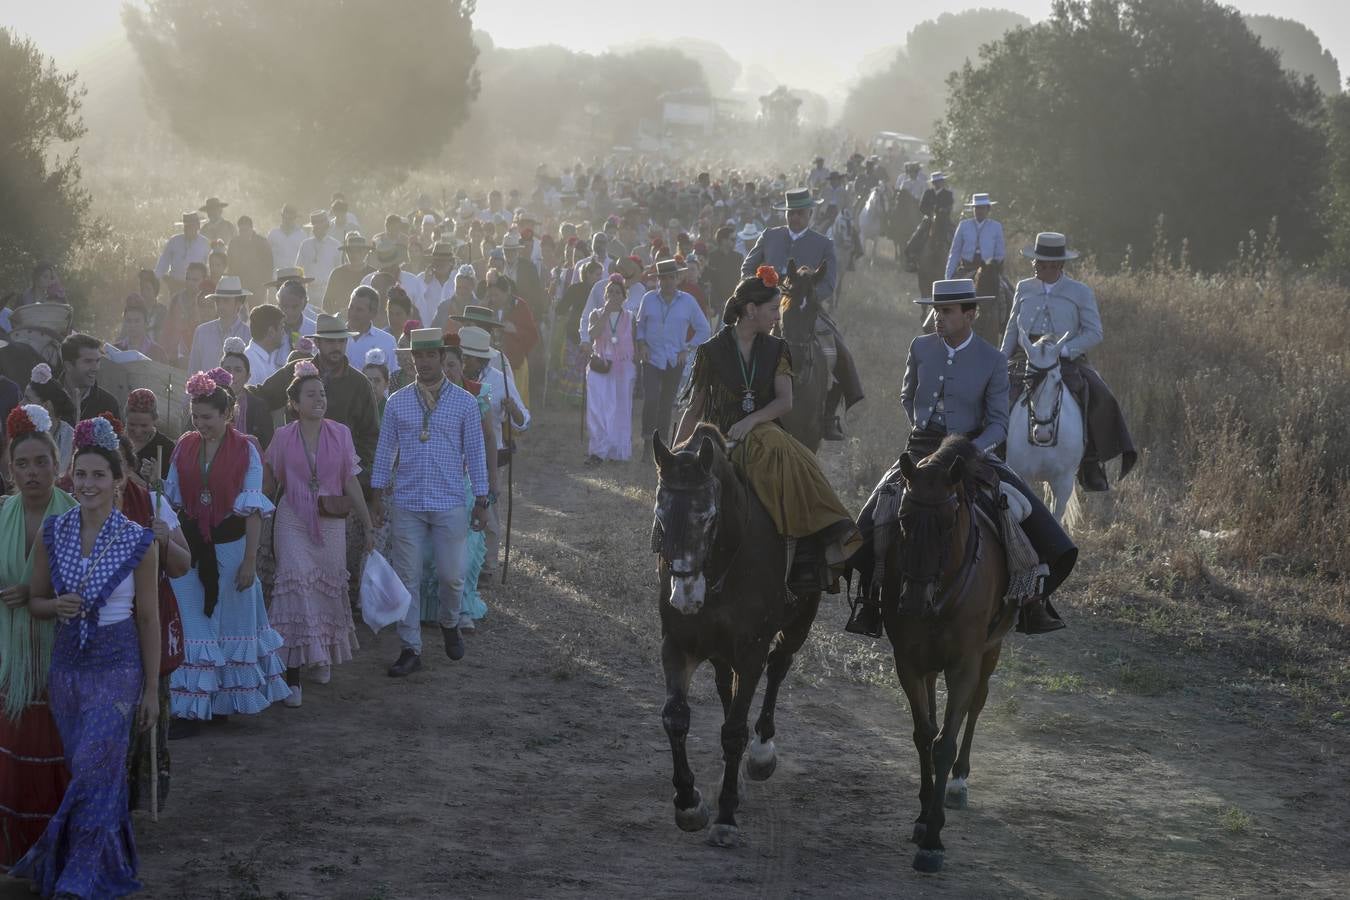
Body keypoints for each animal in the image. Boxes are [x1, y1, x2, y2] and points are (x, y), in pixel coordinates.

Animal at [650, 426, 815, 847]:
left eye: (709, 515)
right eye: (660, 513)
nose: (685, 596)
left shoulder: (751, 649)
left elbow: (735, 732)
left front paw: (725, 815)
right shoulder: (677, 645)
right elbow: (676, 717)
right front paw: (689, 803)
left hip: (801, 619)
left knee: (779, 666)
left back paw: (761, 752)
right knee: (727, 686)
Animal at [874, 437, 1015, 874]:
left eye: (949, 521)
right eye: (903, 517)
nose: (914, 602)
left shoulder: (964, 665)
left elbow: (945, 742)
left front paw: (933, 841)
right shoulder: (908, 662)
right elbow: (924, 735)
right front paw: (922, 819)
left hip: (990, 651)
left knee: (977, 704)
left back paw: (958, 781)